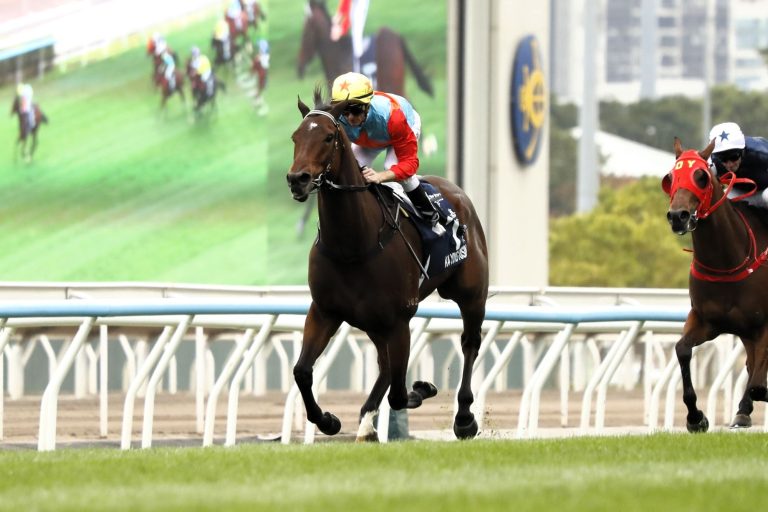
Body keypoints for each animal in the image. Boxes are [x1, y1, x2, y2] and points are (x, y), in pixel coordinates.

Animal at [286, 89, 489, 441]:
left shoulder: (399, 319)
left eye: (328, 137)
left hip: (471, 293)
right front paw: (328, 420)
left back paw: (464, 418)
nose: (298, 179)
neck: (353, 246)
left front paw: (421, 389)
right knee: (384, 366)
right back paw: (366, 424)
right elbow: (302, 371)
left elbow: (398, 392)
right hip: (373, 321)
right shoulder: (325, 311)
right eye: (296, 137)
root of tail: (457, 192)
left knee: (469, 343)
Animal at [662, 137, 768, 432]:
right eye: (670, 177)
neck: (727, 261)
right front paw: (695, 417)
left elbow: (758, 382)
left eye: (700, 176)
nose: (678, 216)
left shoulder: (764, 325)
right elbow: (682, 349)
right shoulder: (706, 320)